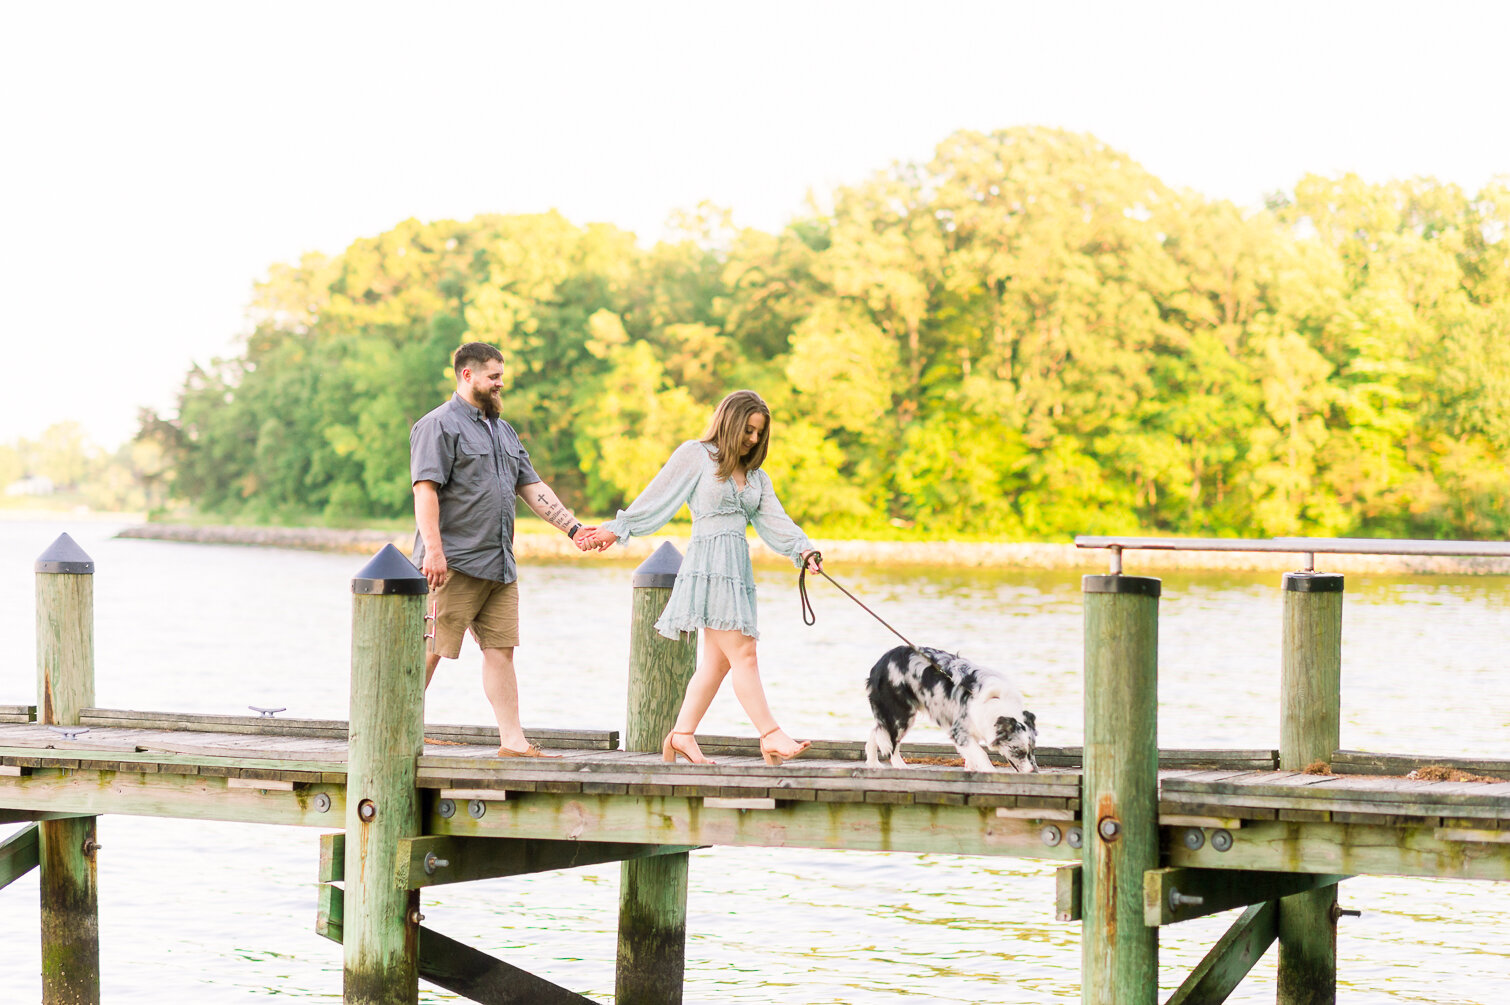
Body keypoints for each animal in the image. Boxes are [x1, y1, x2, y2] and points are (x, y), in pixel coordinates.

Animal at [863, 645, 1038, 769]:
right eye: (1018, 751)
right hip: (901, 715)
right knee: (892, 743)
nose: (1034, 773)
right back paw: (900, 766)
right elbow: (982, 755)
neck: (995, 702)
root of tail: (882, 661)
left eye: (1032, 749)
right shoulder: (958, 731)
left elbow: (971, 758)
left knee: (877, 730)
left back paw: (873, 763)